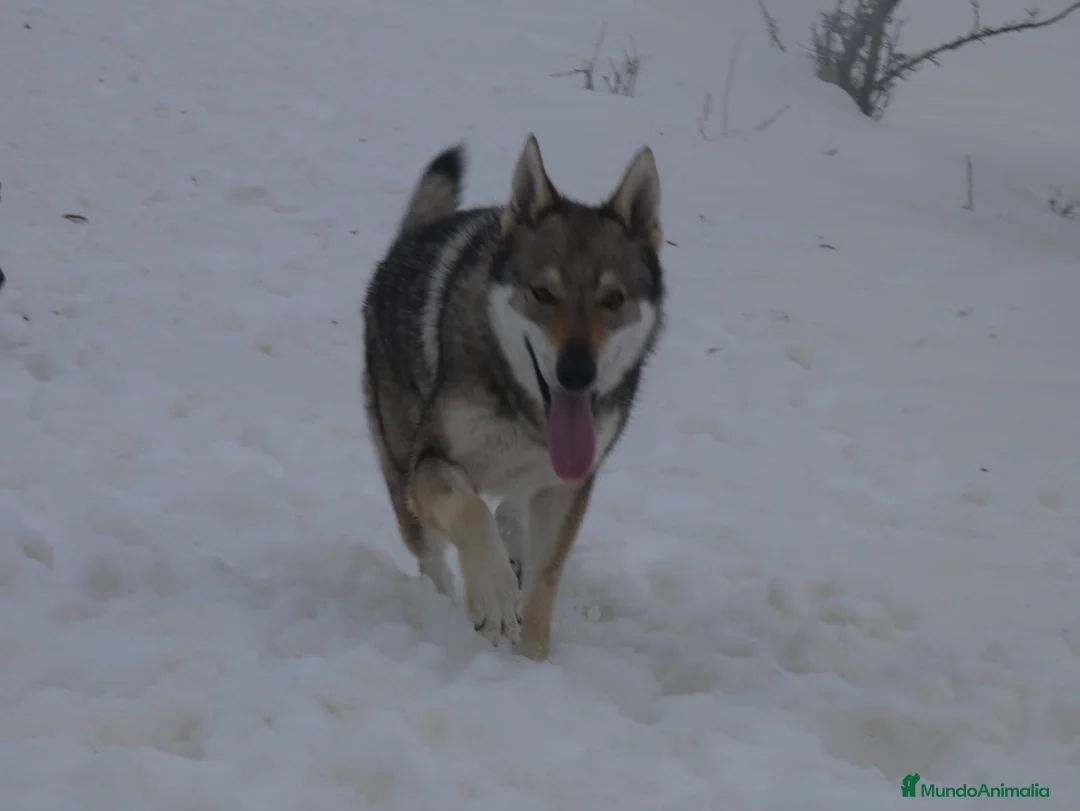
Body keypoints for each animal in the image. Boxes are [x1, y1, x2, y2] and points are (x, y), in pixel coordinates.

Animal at [361, 134, 666, 660]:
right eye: (542, 293)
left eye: (613, 300)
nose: (576, 373)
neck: (526, 417)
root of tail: (406, 243)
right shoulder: (431, 465)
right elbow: (470, 513)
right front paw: (495, 601)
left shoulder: (567, 487)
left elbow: (545, 577)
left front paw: (532, 659)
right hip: (400, 470)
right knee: (434, 562)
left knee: (508, 513)